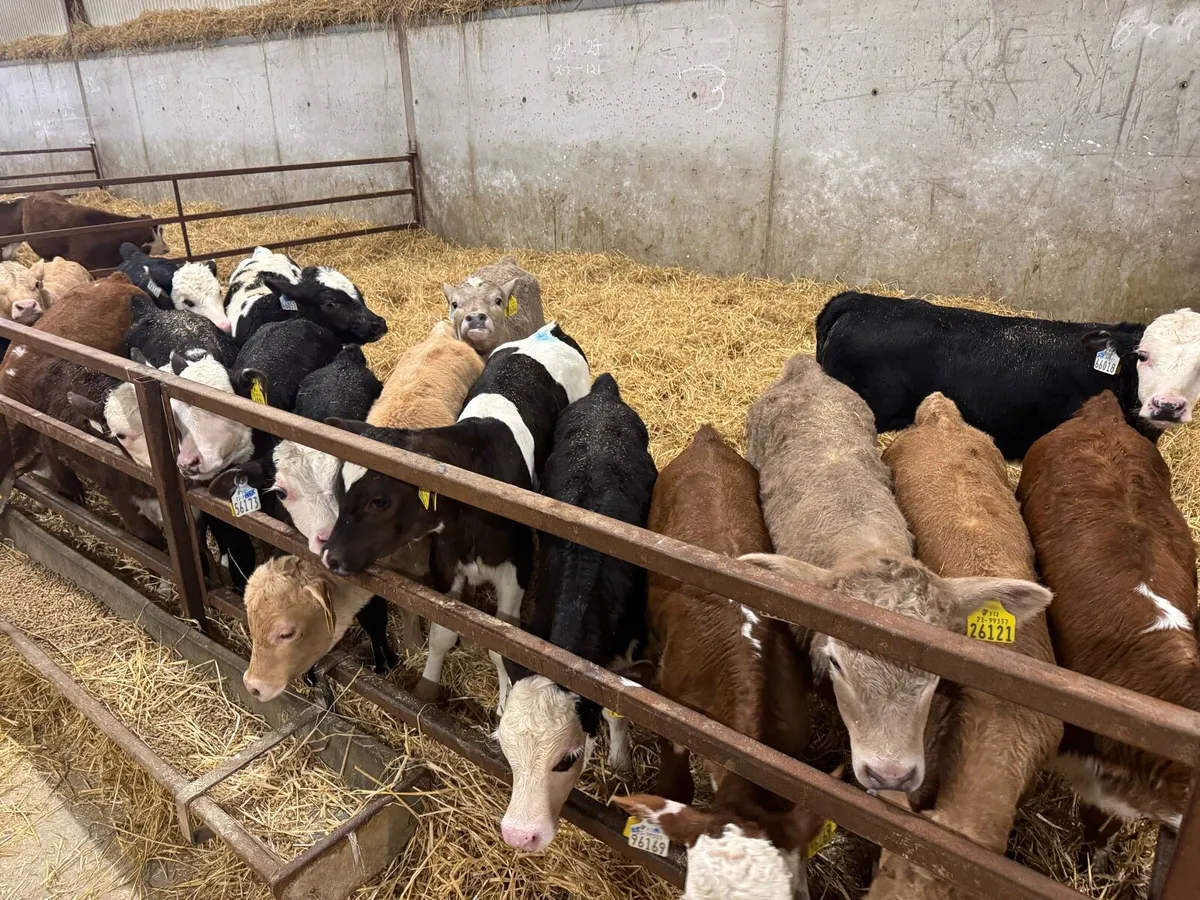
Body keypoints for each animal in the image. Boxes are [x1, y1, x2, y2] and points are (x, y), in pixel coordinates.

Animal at [322, 323, 590, 711]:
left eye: (379, 501)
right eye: (339, 488)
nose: (331, 557)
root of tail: (548, 330)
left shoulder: (516, 570)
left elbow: (503, 646)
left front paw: (505, 704)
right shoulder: (445, 565)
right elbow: (441, 633)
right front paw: (427, 687)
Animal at [496, 373, 657, 853]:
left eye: (567, 759)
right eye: (503, 749)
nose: (518, 835)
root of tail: (603, 395)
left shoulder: (626, 653)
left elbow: (617, 712)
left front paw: (621, 761)